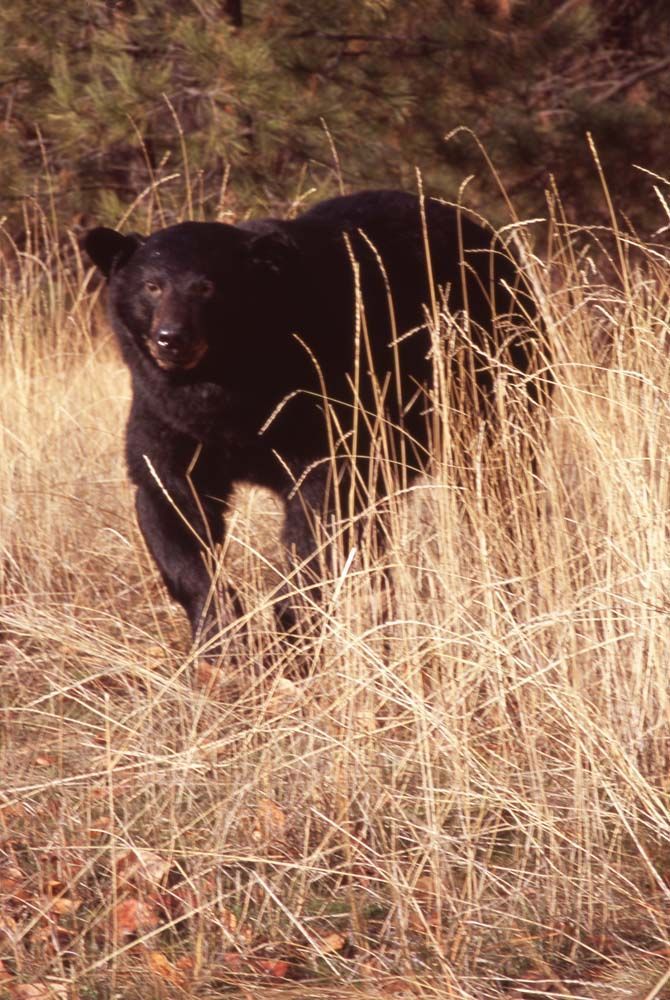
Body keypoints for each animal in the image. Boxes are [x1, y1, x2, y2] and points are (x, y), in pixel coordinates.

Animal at [84, 189, 545, 656]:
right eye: (152, 285)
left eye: (208, 287)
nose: (172, 338)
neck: (227, 388)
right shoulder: (165, 416)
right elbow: (171, 505)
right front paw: (222, 635)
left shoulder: (326, 402)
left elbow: (322, 515)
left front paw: (292, 626)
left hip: (493, 369)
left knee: (503, 477)